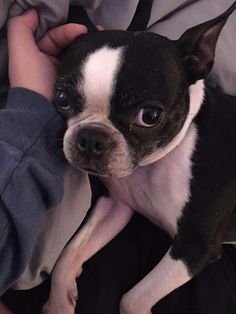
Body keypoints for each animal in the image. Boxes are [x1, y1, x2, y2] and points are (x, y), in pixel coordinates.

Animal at [43, 3, 235, 314]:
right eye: (61, 98)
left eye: (150, 115)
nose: (91, 139)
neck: (154, 163)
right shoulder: (116, 206)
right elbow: (68, 254)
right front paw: (58, 304)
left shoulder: (196, 247)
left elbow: (133, 298)